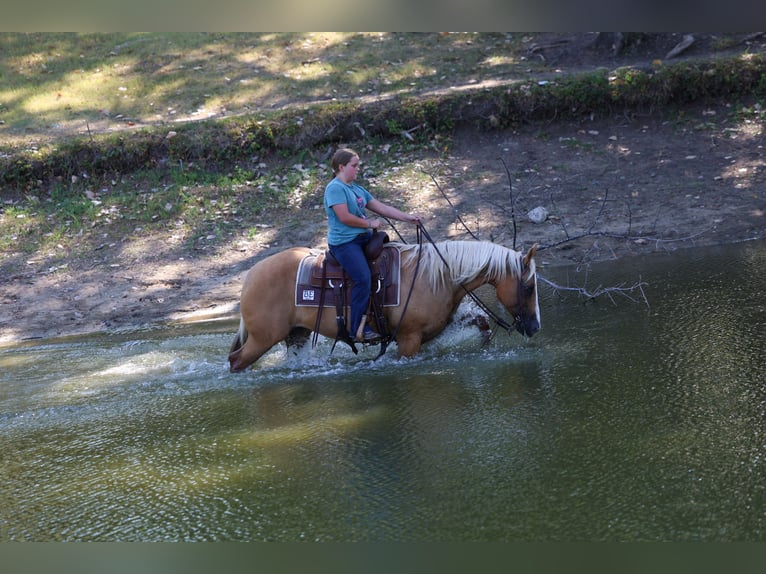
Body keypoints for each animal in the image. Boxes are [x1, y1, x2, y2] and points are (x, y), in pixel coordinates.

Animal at [228, 240, 540, 372]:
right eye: (529, 286)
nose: (536, 326)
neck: (437, 275)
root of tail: (250, 276)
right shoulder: (409, 339)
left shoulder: (438, 326)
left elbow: (481, 322)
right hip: (262, 338)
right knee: (236, 361)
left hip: (297, 335)